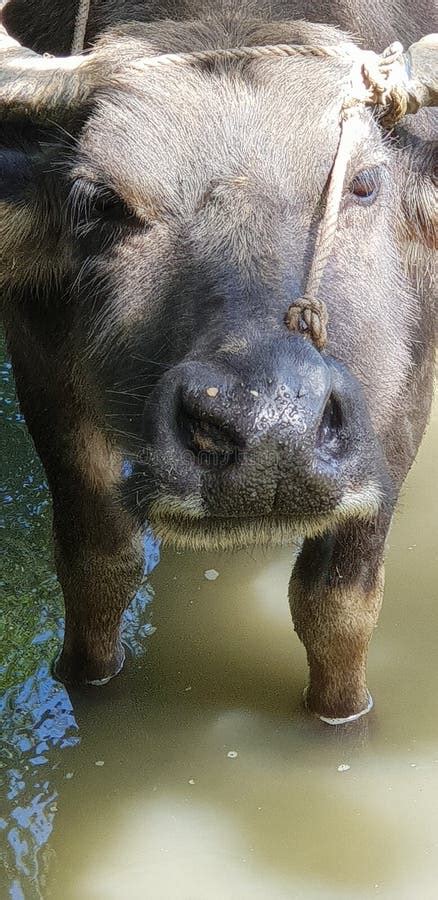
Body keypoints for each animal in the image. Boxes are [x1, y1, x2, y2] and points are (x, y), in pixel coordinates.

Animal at [0, 0, 438, 724]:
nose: (271, 432)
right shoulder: (38, 355)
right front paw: (87, 685)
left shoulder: (406, 389)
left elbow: (338, 605)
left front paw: (342, 718)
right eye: (101, 201)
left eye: (365, 183)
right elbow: (97, 563)